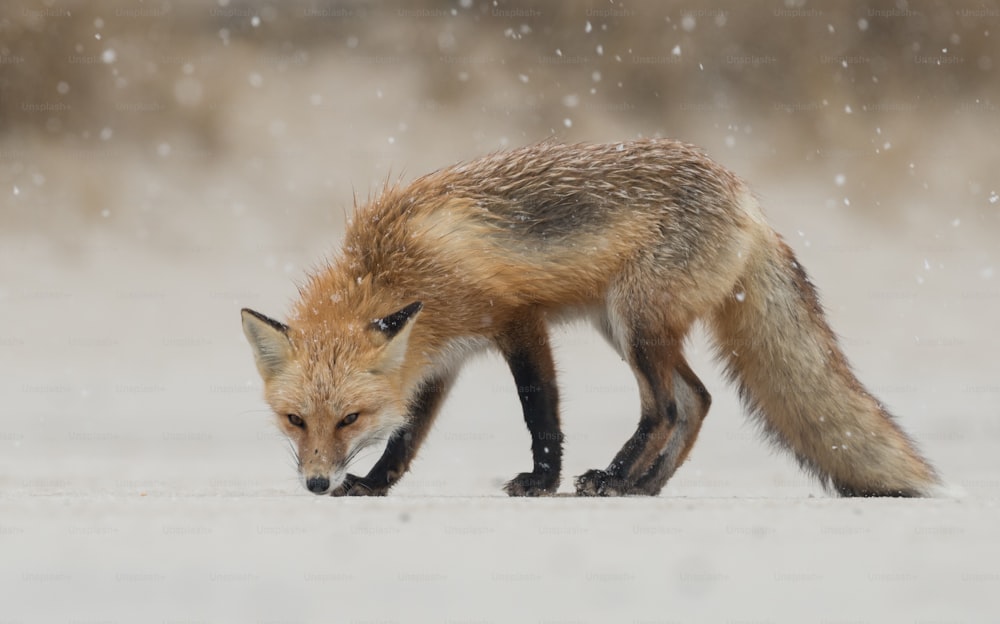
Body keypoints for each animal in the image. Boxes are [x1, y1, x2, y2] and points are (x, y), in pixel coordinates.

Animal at [240, 140, 936, 498]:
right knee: (699, 399)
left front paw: (542, 480)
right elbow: (408, 434)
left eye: (349, 419)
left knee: (668, 406)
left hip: (635, 323)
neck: (393, 267)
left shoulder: (516, 320)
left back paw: (616, 477)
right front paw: (375, 483)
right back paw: (644, 486)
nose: (317, 484)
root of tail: (746, 199)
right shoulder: (438, 356)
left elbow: (539, 413)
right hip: (627, 326)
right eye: (296, 421)